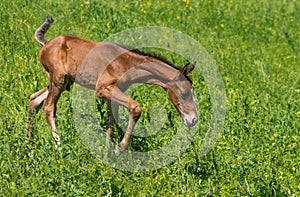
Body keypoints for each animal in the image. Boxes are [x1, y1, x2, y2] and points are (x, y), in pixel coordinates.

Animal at [27, 16, 198, 150]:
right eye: (184, 93)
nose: (193, 120)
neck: (126, 63)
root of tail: (46, 43)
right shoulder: (102, 89)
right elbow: (135, 108)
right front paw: (120, 148)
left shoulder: (114, 92)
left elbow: (111, 122)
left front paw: (108, 153)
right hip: (58, 79)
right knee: (49, 107)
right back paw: (59, 146)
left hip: (64, 82)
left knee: (34, 99)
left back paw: (29, 145)